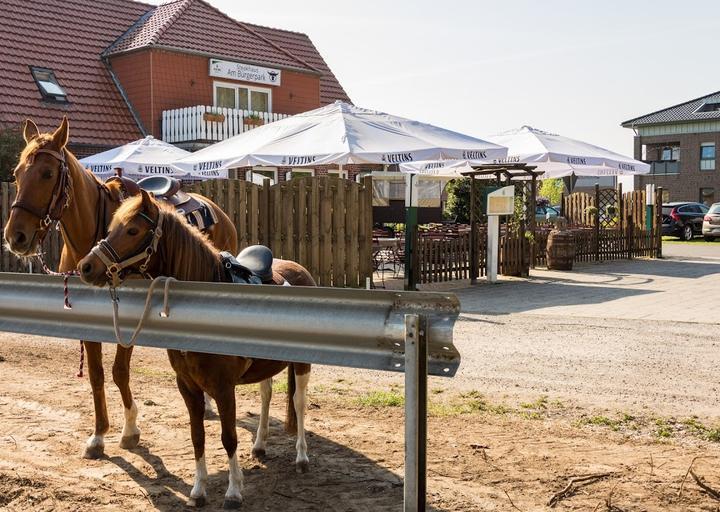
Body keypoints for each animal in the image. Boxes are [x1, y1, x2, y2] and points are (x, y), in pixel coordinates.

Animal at [2, 117, 239, 460]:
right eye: (17, 173)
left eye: (47, 173)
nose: (15, 237)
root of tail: (216, 209)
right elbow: (97, 375)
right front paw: (98, 435)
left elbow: (119, 372)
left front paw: (129, 430)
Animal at [79, 192, 316, 508]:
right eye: (111, 228)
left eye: (132, 230)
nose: (86, 266)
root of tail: (298, 269)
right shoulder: (188, 387)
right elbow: (197, 436)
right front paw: (198, 491)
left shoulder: (223, 388)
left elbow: (228, 437)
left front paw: (233, 492)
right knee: (266, 395)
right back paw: (259, 446)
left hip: (301, 365)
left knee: (299, 403)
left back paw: (301, 458)